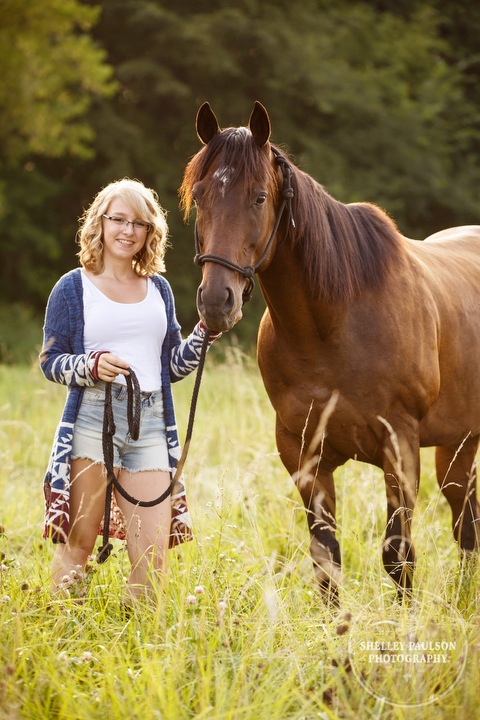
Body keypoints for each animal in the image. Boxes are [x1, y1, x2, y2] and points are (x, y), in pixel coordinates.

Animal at [180, 98, 480, 600]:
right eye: (199, 196)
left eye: (259, 197)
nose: (217, 301)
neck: (332, 326)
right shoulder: (304, 455)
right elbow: (326, 561)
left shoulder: (400, 447)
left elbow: (398, 556)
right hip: (460, 441)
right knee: (466, 517)